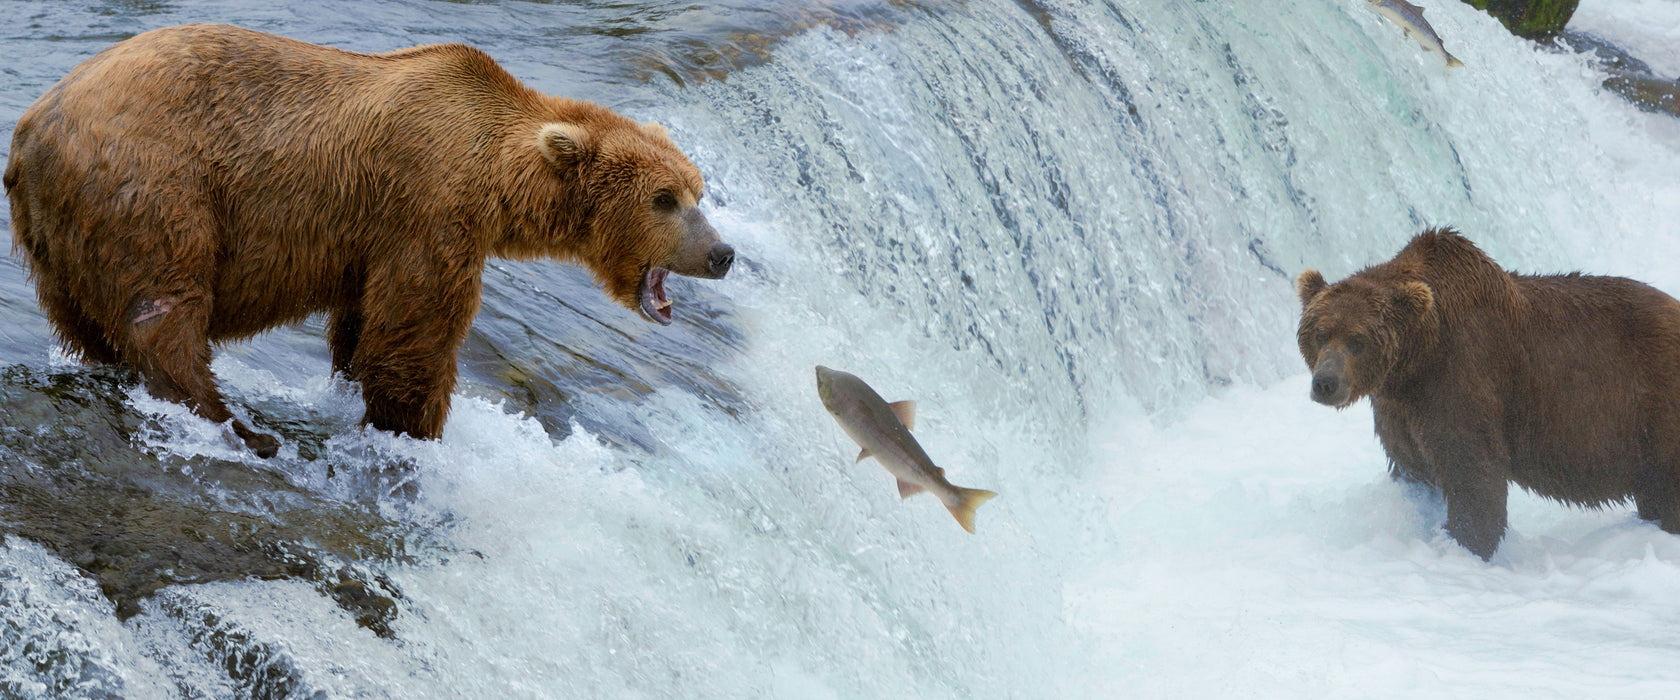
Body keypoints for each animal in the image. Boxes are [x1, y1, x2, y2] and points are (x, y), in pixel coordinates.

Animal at [3, 21, 732, 456]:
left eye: (699, 191)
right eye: (665, 199)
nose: (722, 254)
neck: (497, 176)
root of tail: (32, 126)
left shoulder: (374, 236)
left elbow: (363, 326)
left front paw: (357, 387)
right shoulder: (430, 207)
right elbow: (416, 333)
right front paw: (415, 426)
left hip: (56, 238)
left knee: (86, 322)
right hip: (153, 187)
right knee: (166, 310)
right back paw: (238, 426)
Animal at [1296, 228, 1680, 557]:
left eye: (1357, 340)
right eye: (1320, 333)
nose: (1325, 383)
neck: (1417, 359)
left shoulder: (1462, 375)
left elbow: (1472, 472)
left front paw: (1465, 543)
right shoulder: (1399, 406)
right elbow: (1410, 462)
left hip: (1655, 406)